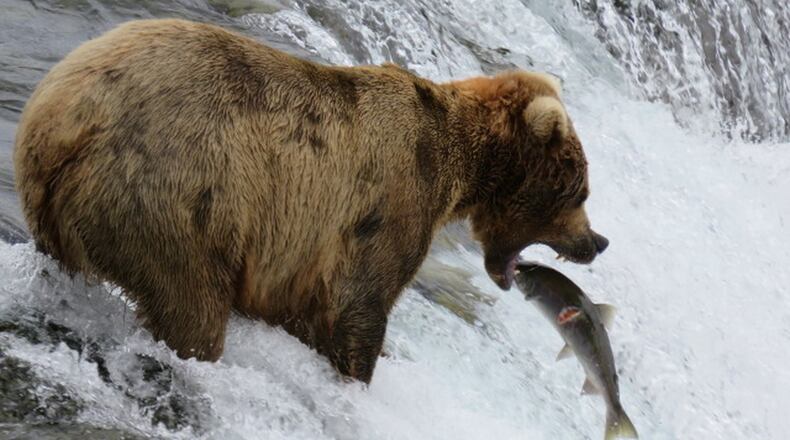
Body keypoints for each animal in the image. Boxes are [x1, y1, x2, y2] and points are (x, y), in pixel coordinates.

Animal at [13, 19, 608, 383]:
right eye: (580, 189)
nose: (597, 241)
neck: (458, 162)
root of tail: (62, 116)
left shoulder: (298, 256)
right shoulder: (387, 203)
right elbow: (356, 307)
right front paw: (358, 370)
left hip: (64, 209)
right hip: (176, 196)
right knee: (191, 306)